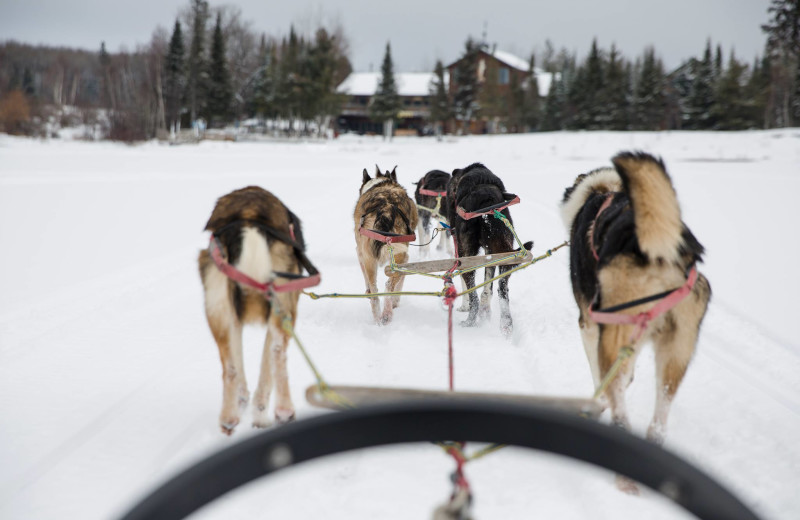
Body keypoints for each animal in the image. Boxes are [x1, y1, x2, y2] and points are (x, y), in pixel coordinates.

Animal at [198, 187, 306, 434]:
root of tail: (249, 217)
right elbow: (266, 370)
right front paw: (259, 415)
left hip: (218, 306)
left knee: (230, 368)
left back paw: (229, 417)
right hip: (283, 308)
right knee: (277, 352)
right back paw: (283, 411)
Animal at [356, 167, 418, 322]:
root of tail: (386, 209)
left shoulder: (360, 255)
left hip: (374, 259)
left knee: (378, 291)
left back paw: (381, 316)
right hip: (398, 257)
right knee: (388, 286)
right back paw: (386, 313)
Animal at [560, 153, 708, 460]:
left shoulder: (589, 325)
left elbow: (603, 374)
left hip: (616, 331)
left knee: (619, 402)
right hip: (676, 349)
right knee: (658, 419)